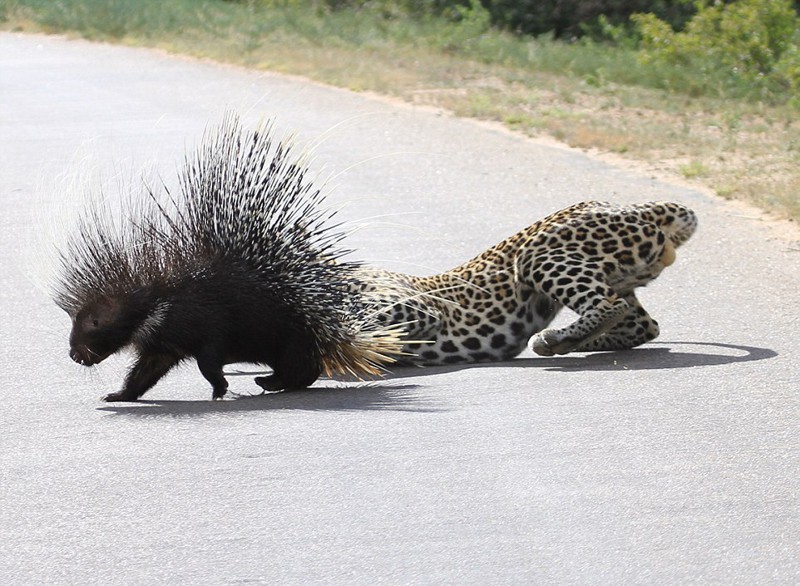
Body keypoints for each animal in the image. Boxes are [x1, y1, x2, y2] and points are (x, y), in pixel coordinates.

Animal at [360, 201, 696, 364]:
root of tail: (639, 207)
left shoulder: (414, 306)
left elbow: (365, 320)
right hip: (623, 278)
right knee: (643, 325)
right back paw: (571, 343)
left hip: (535, 255)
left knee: (609, 306)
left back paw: (555, 340)